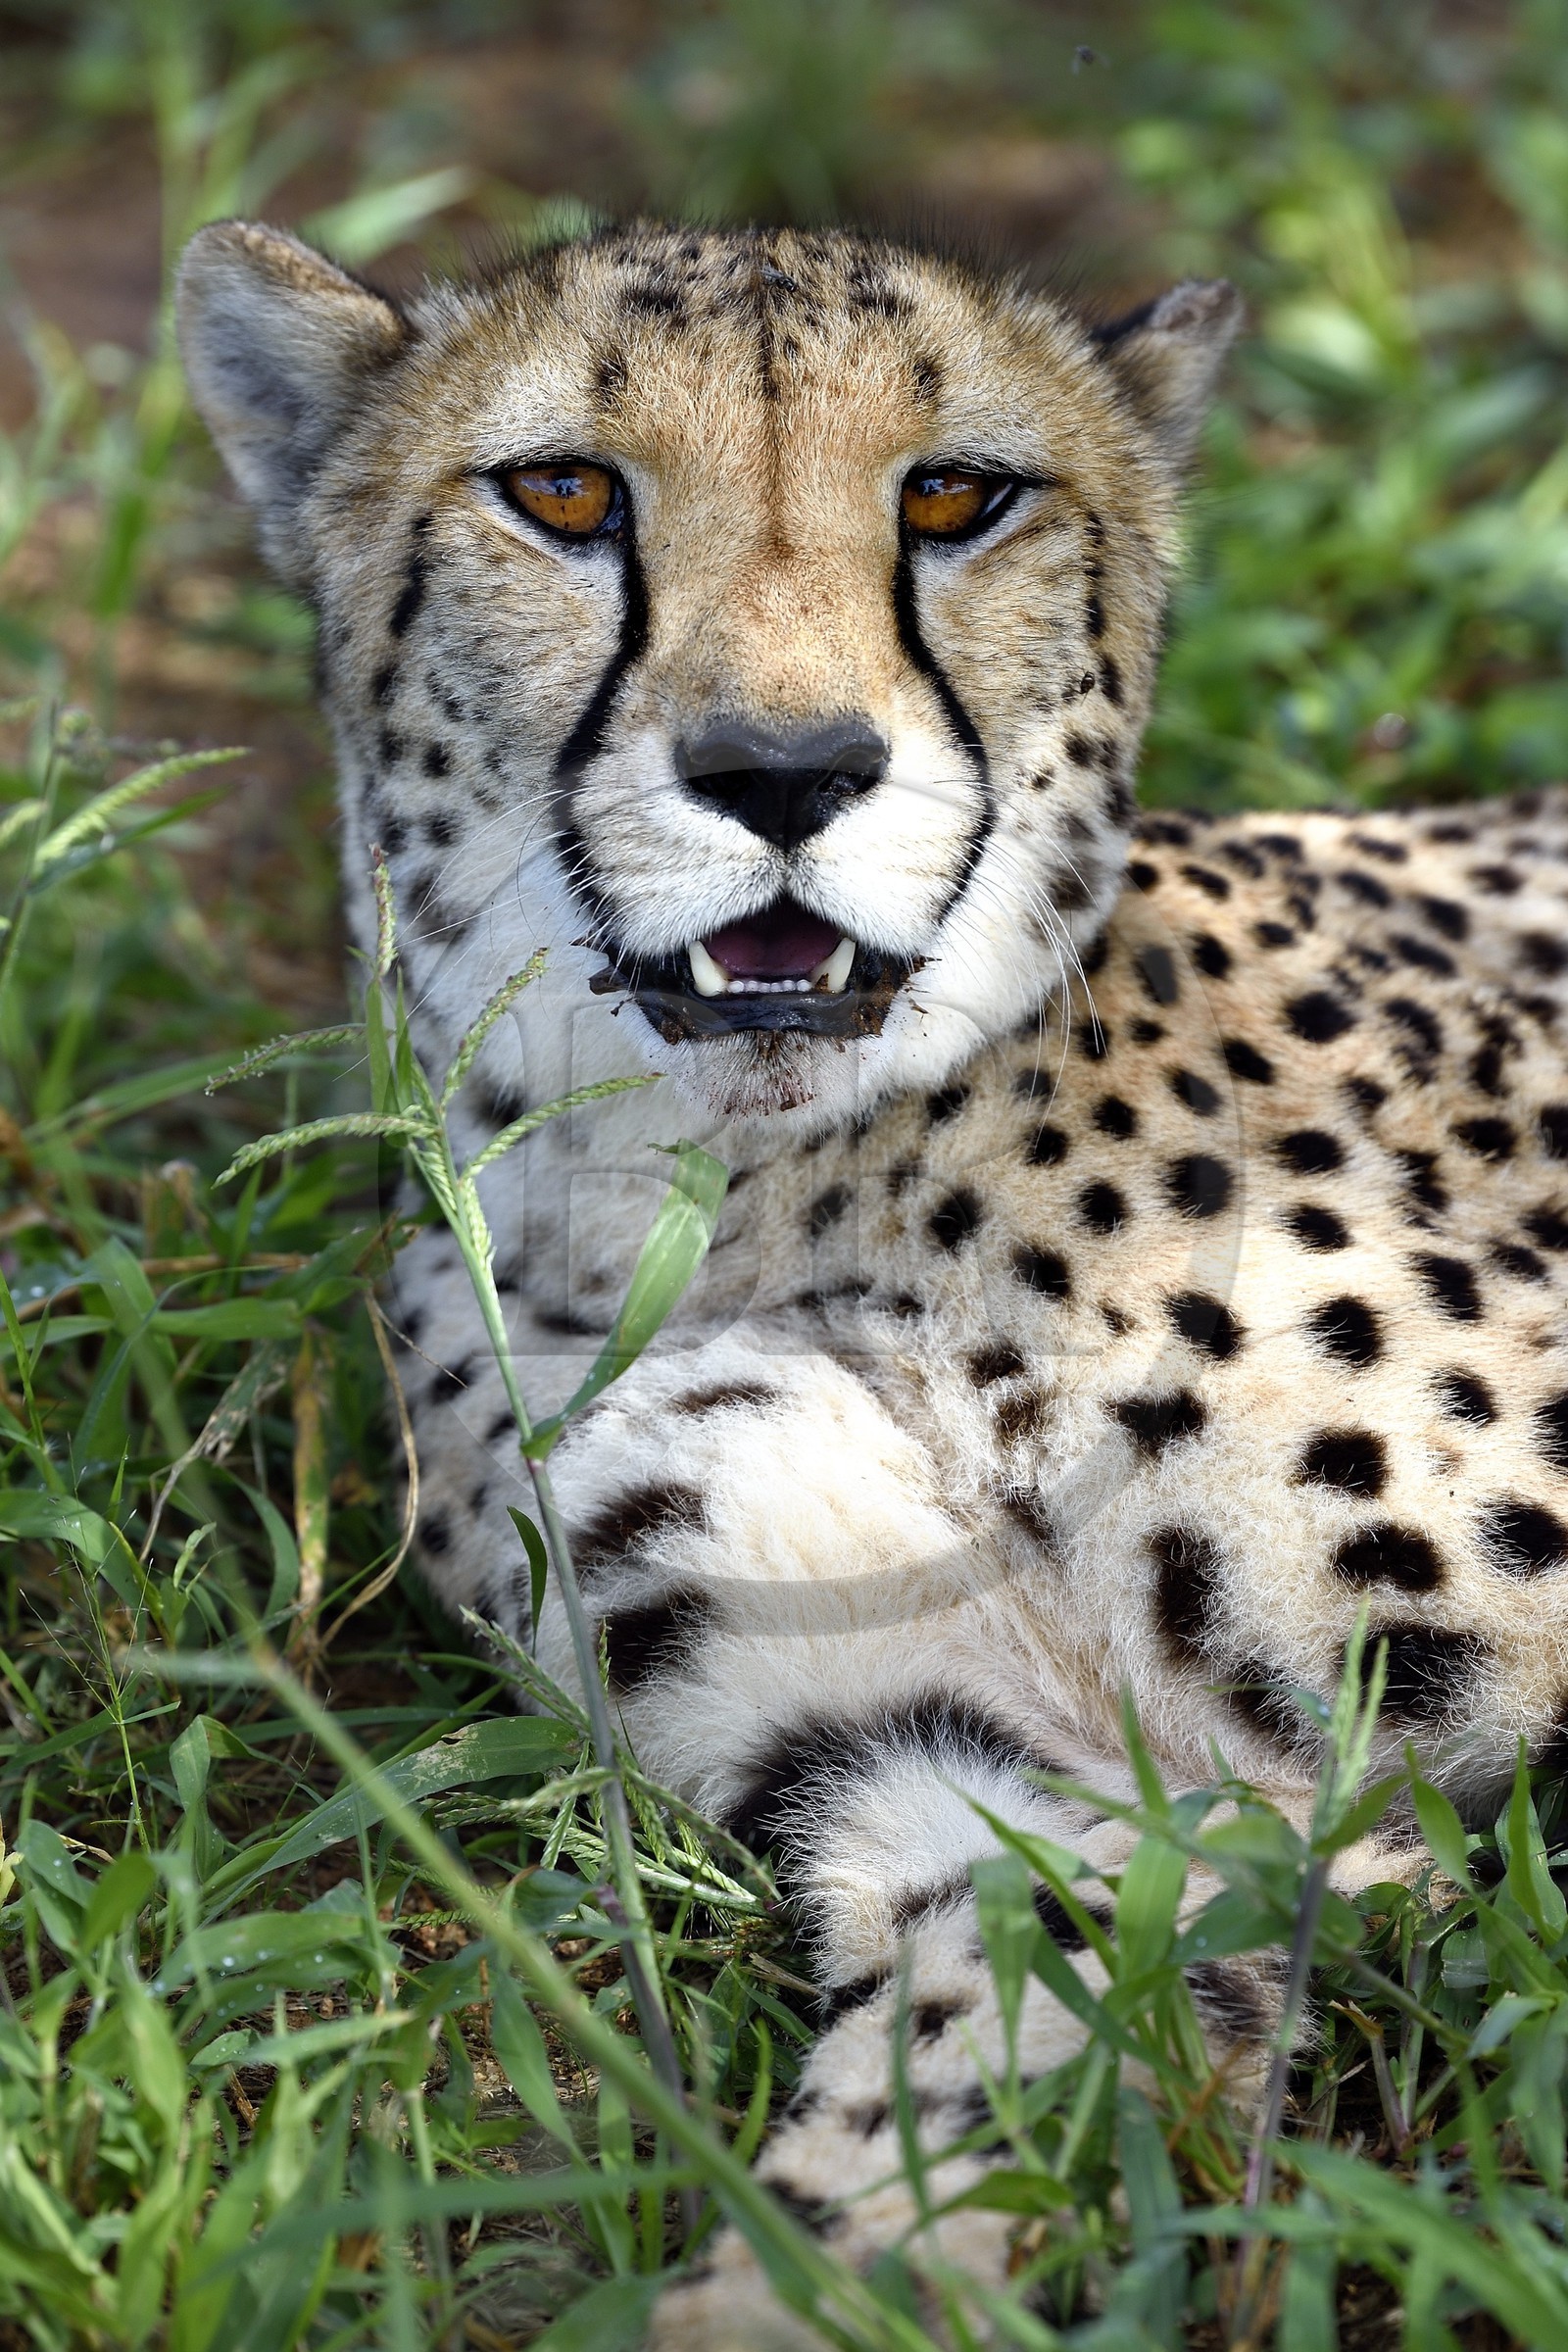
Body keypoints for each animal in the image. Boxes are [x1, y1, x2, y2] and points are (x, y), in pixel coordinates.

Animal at [179, 216, 1568, 2347]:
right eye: (561, 493)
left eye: (955, 497)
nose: (782, 771)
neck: (744, 1193)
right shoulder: (1007, 1796)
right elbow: (931, 2099)